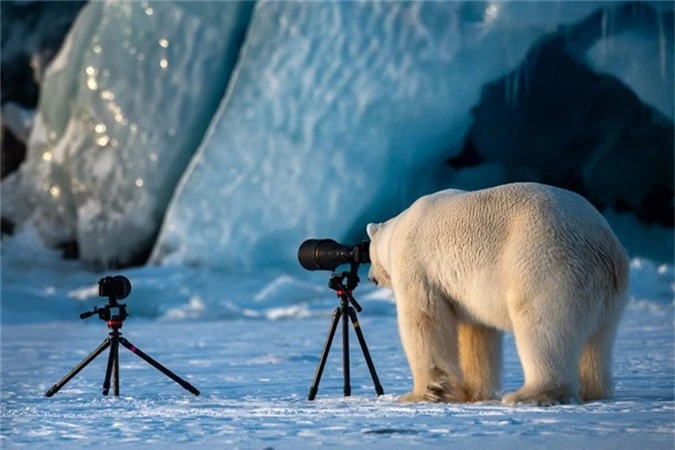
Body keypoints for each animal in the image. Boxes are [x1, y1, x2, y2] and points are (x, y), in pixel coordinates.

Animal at [368, 181, 632, 406]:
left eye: (369, 255)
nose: (370, 277)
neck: (397, 230)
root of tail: (603, 244)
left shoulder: (417, 266)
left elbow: (424, 321)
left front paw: (422, 394)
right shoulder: (467, 293)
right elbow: (476, 333)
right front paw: (472, 393)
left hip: (546, 263)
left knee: (543, 329)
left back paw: (530, 395)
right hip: (608, 294)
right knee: (598, 340)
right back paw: (594, 391)